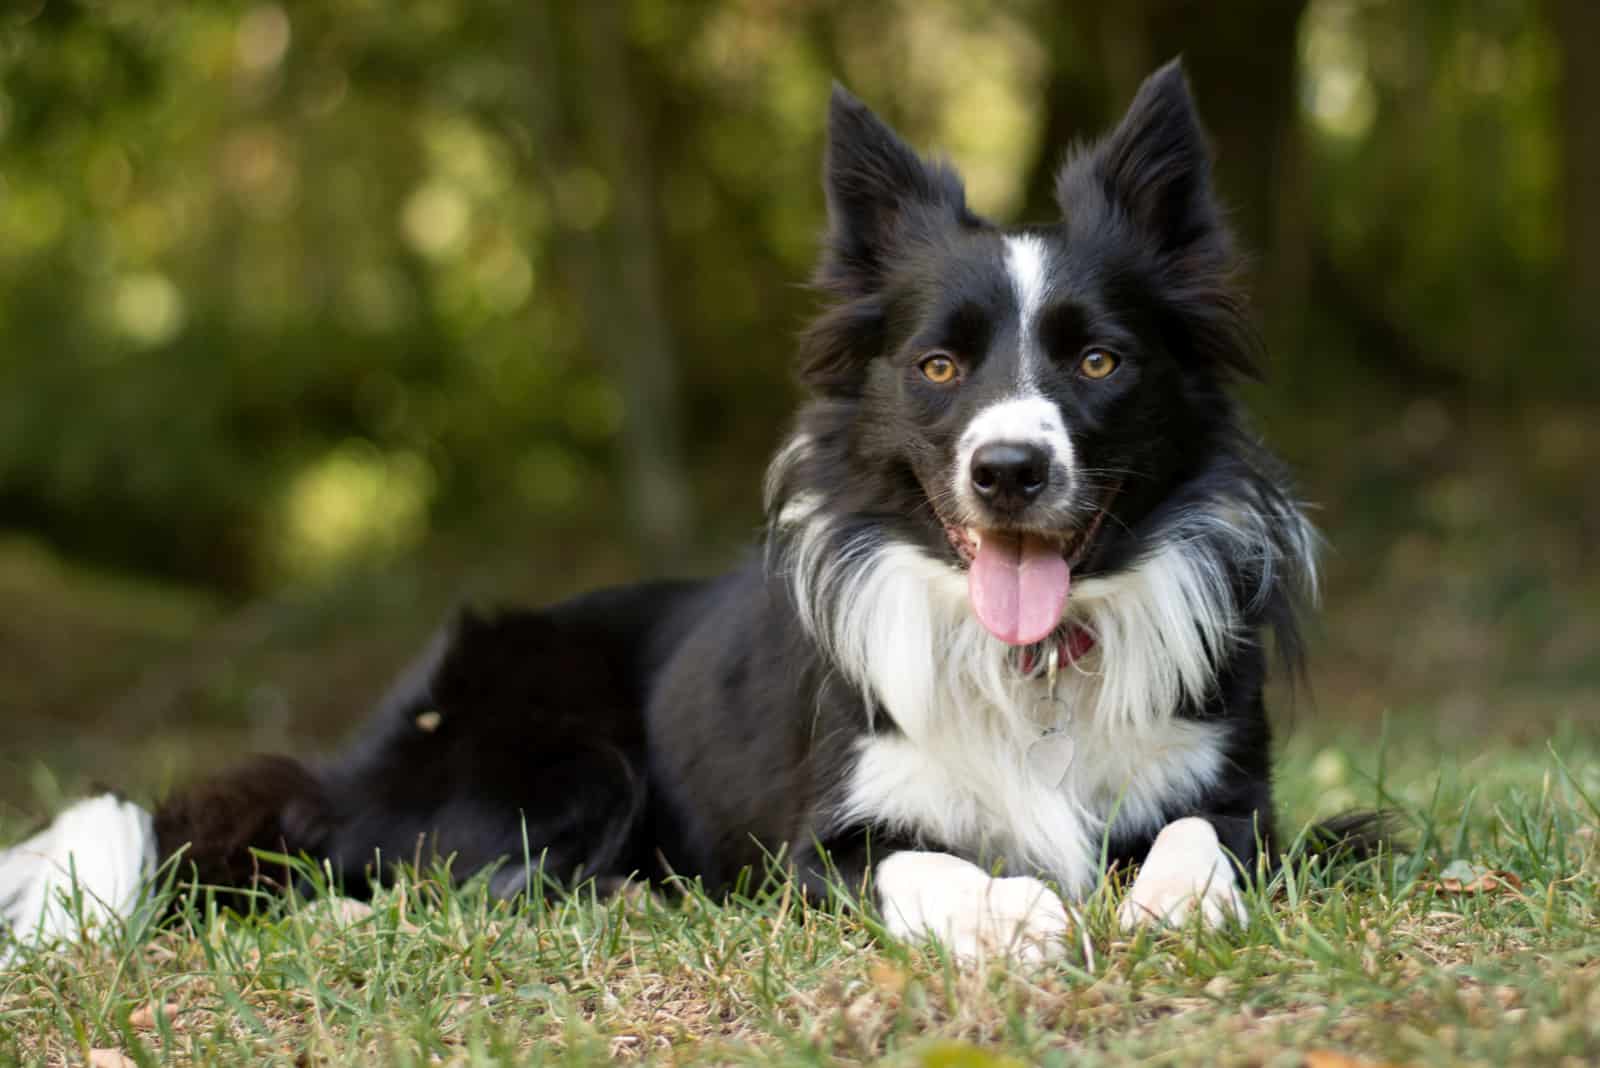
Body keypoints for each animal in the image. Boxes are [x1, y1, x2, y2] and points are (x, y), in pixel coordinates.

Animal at [6, 60, 1344, 959]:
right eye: (938, 367)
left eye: (1099, 361)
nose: (1007, 470)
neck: (1029, 667)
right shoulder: (822, 846)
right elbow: (930, 867)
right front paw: (1017, 914)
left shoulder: (1241, 796)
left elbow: (1203, 837)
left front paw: (1174, 900)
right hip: (558, 758)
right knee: (386, 871)